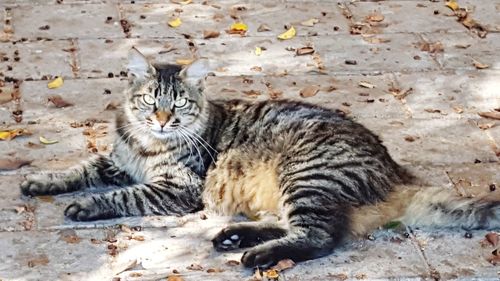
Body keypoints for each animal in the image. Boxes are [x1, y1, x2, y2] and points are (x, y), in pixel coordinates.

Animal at [20, 47, 500, 266]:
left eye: (178, 104)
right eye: (150, 101)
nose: (162, 121)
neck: (145, 144)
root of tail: (396, 172)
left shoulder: (176, 188)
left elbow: (119, 196)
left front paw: (85, 205)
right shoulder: (116, 163)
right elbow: (78, 169)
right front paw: (43, 181)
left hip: (305, 175)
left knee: (320, 237)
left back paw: (255, 255)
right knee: (297, 225)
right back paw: (235, 238)